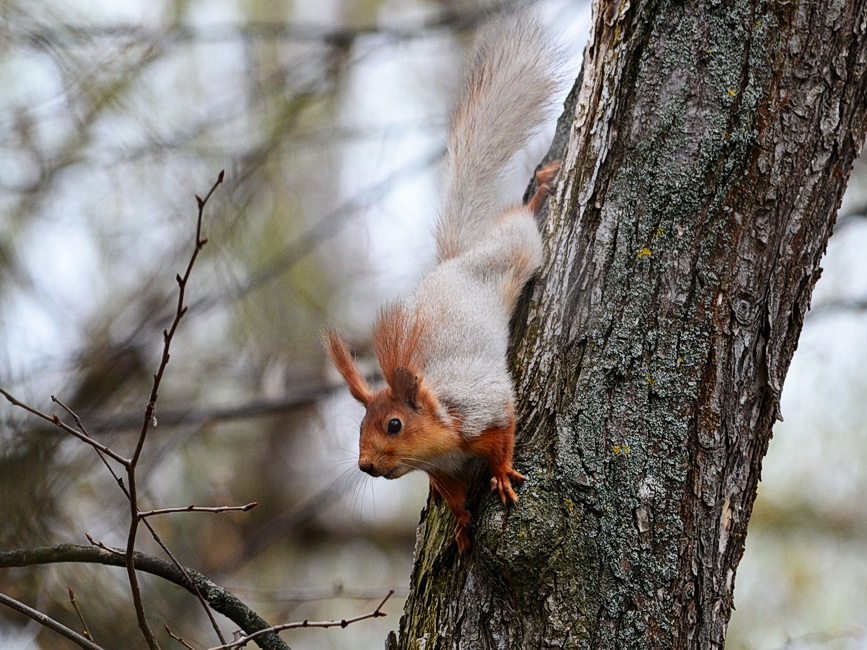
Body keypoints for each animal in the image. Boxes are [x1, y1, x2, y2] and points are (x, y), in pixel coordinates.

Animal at [326, 11, 564, 552]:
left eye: (394, 425)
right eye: (360, 426)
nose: (365, 466)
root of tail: (455, 262)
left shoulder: (483, 408)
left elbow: (504, 435)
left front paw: (501, 475)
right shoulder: (441, 469)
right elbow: (452, 494)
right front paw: (458, 522)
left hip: (514, 252)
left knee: (520, 225)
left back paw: (540, 191)